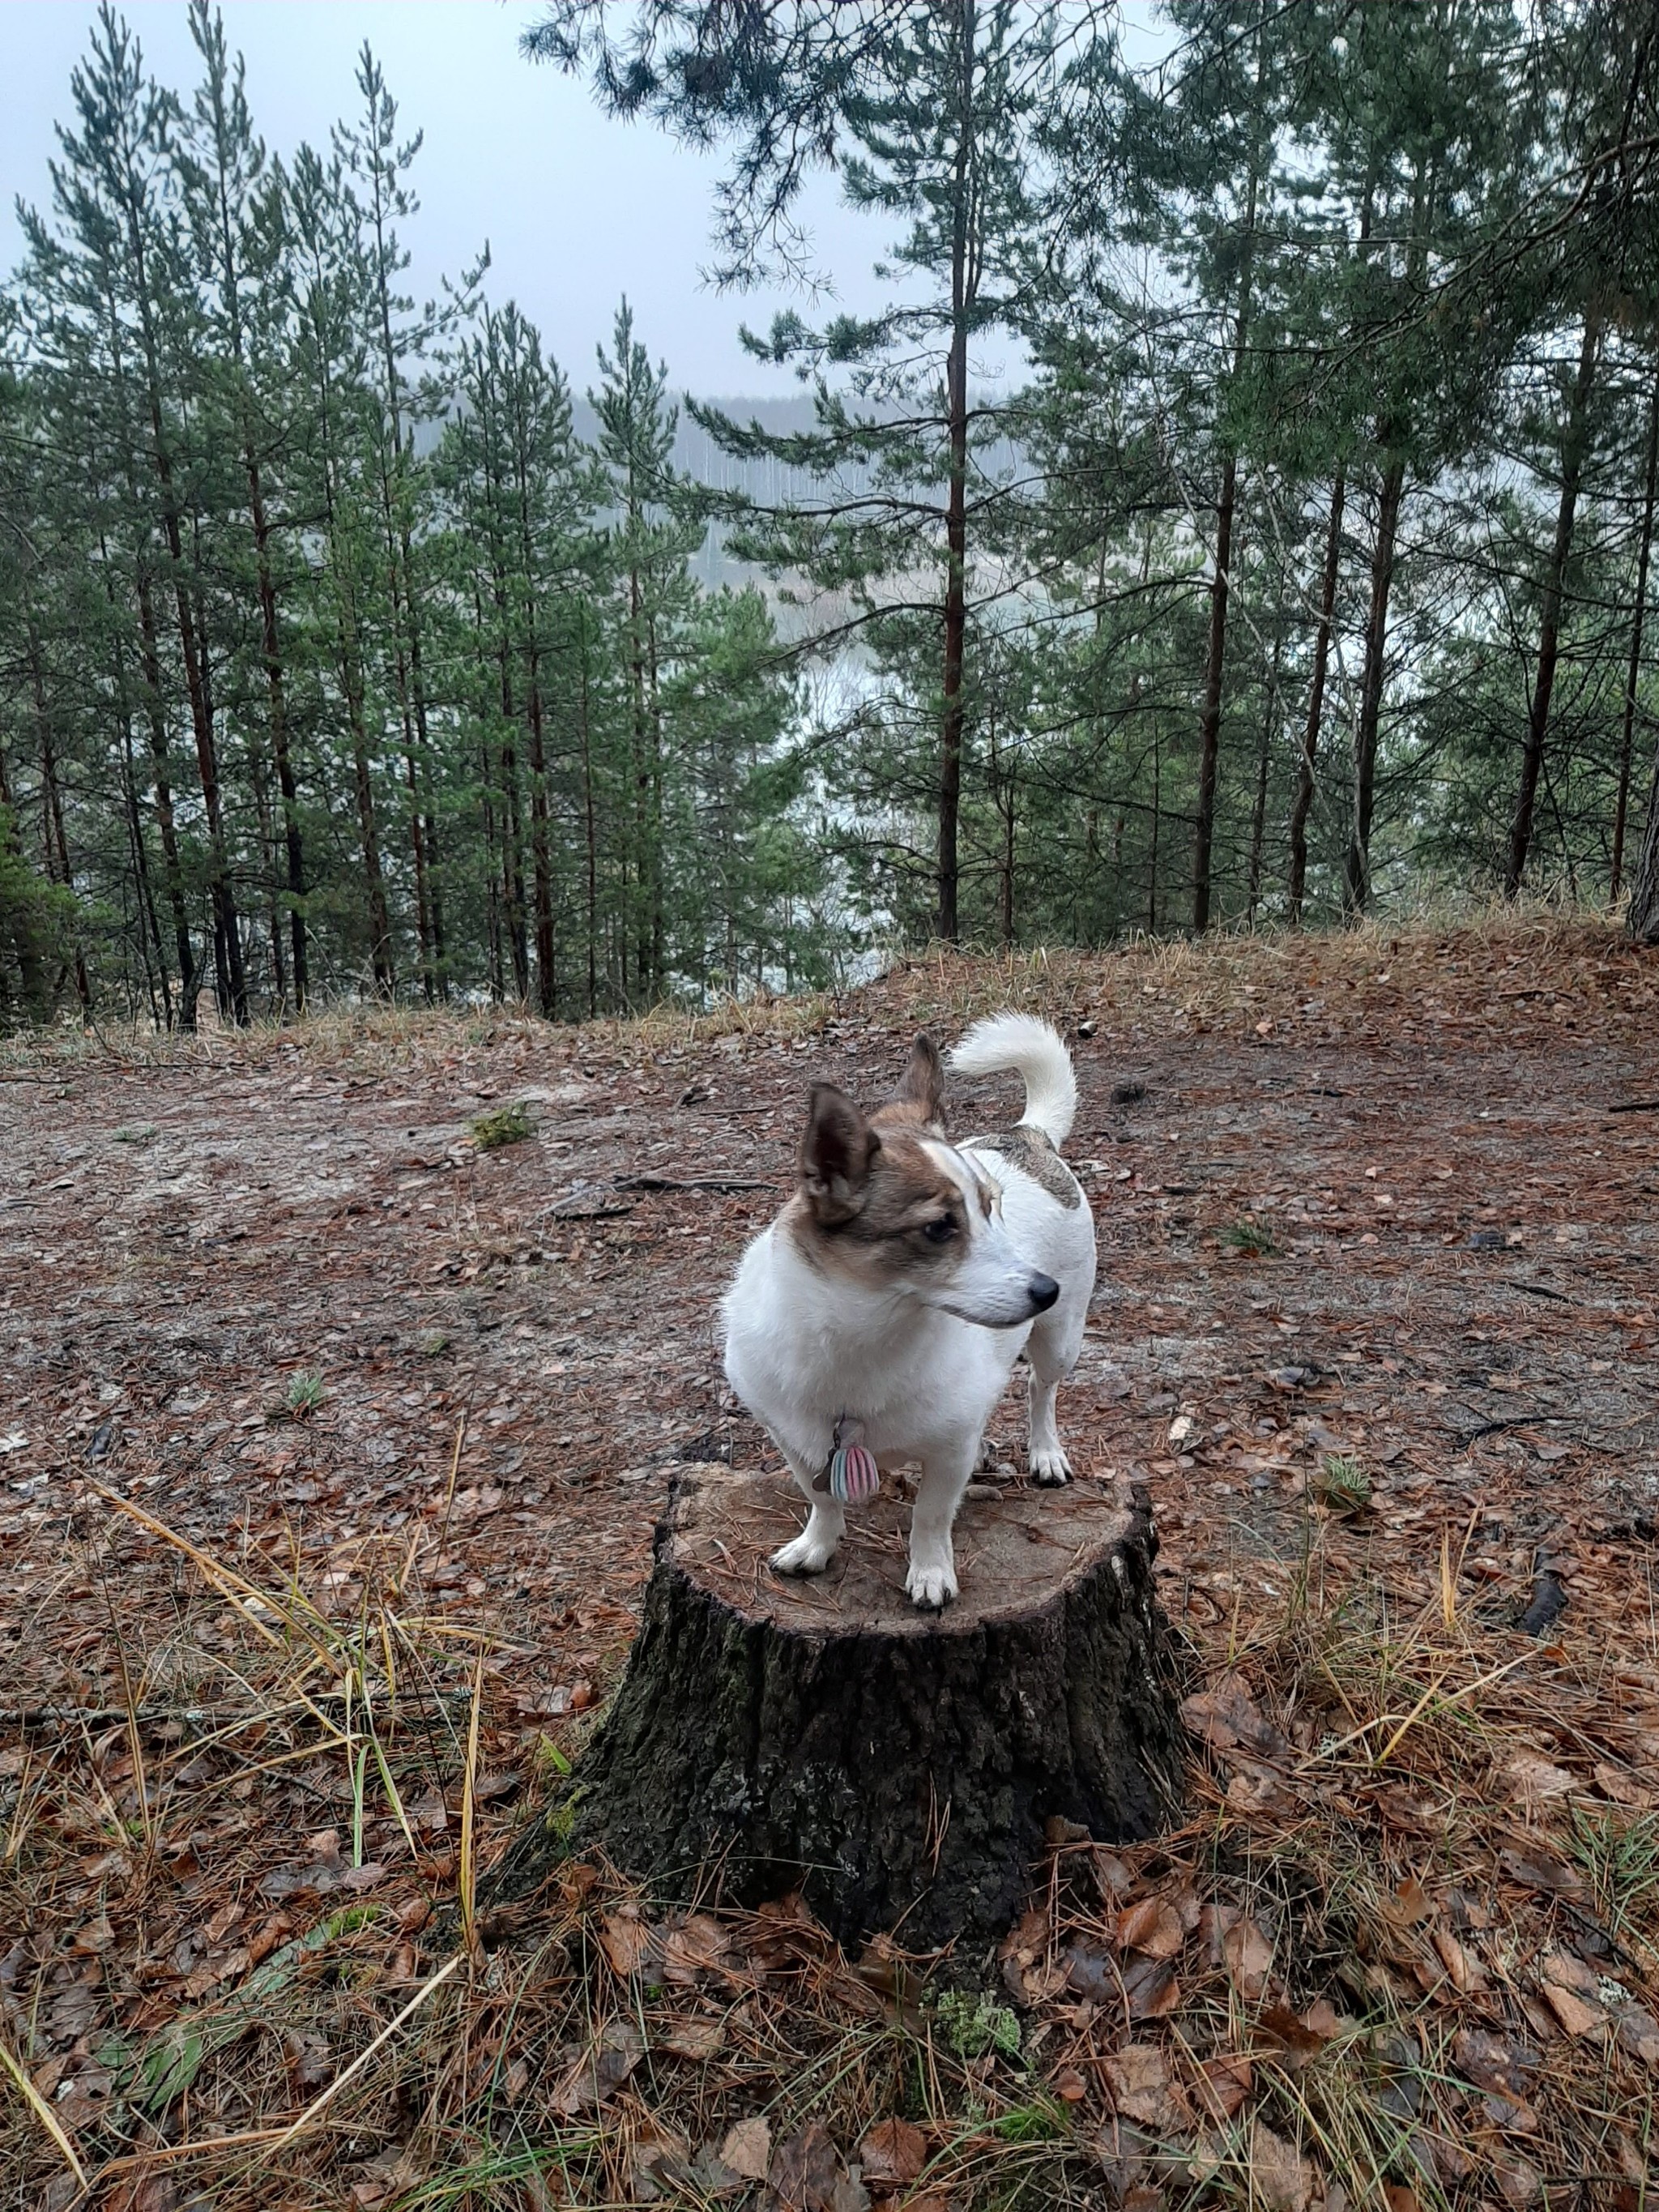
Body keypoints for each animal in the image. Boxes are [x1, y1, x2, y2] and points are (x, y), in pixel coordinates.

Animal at [721, 1013, 1097, 1610]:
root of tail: (1027, 1135)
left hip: (1061, 1341)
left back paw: (1045, 1451)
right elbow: (822, 1500)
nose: (1047, 1290)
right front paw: (817, 1545)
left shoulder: (947, 1454)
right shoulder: (797, 1443)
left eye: (993, 1208)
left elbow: (930, 1515)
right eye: (940, 1227)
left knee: (1041, 1391)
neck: (867, 1335)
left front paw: (930, 1571)